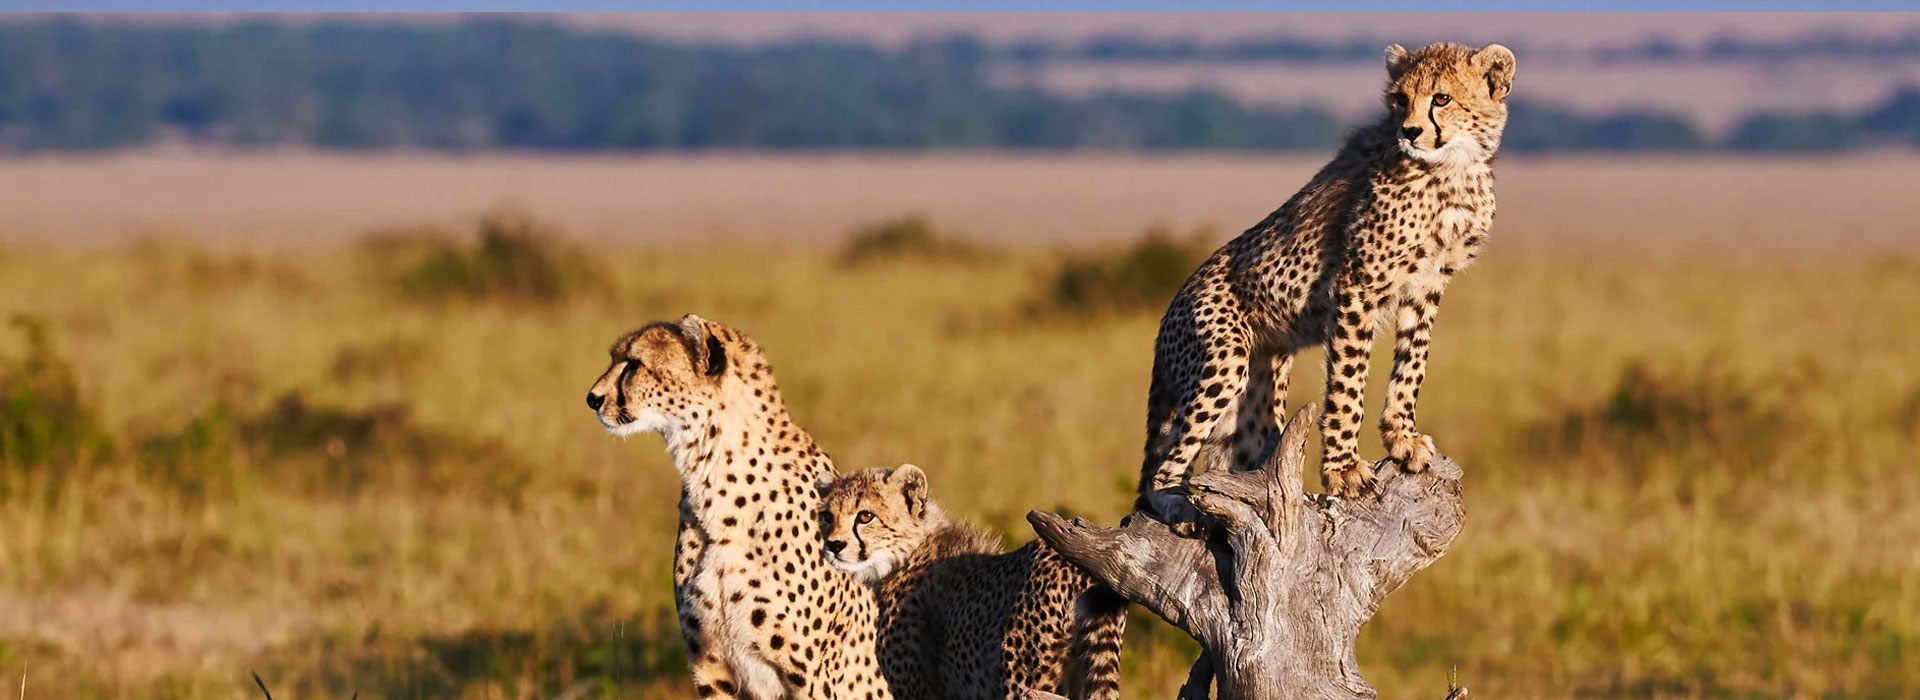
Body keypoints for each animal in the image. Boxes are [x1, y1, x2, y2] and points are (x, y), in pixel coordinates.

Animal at [1136, 39, 1512, 517]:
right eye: (1399, 99)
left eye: (1441, 99)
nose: (1409, 131)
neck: (1453, 169)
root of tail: (1169, 311)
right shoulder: (1357, 285)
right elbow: (1347, 384)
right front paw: (1344, 469)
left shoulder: (1427, 285)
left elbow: (1413, 363)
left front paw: (1402, 438)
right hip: (1224, 357)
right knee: (1164, 467)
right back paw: (1177, 506)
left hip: (1256, 394)